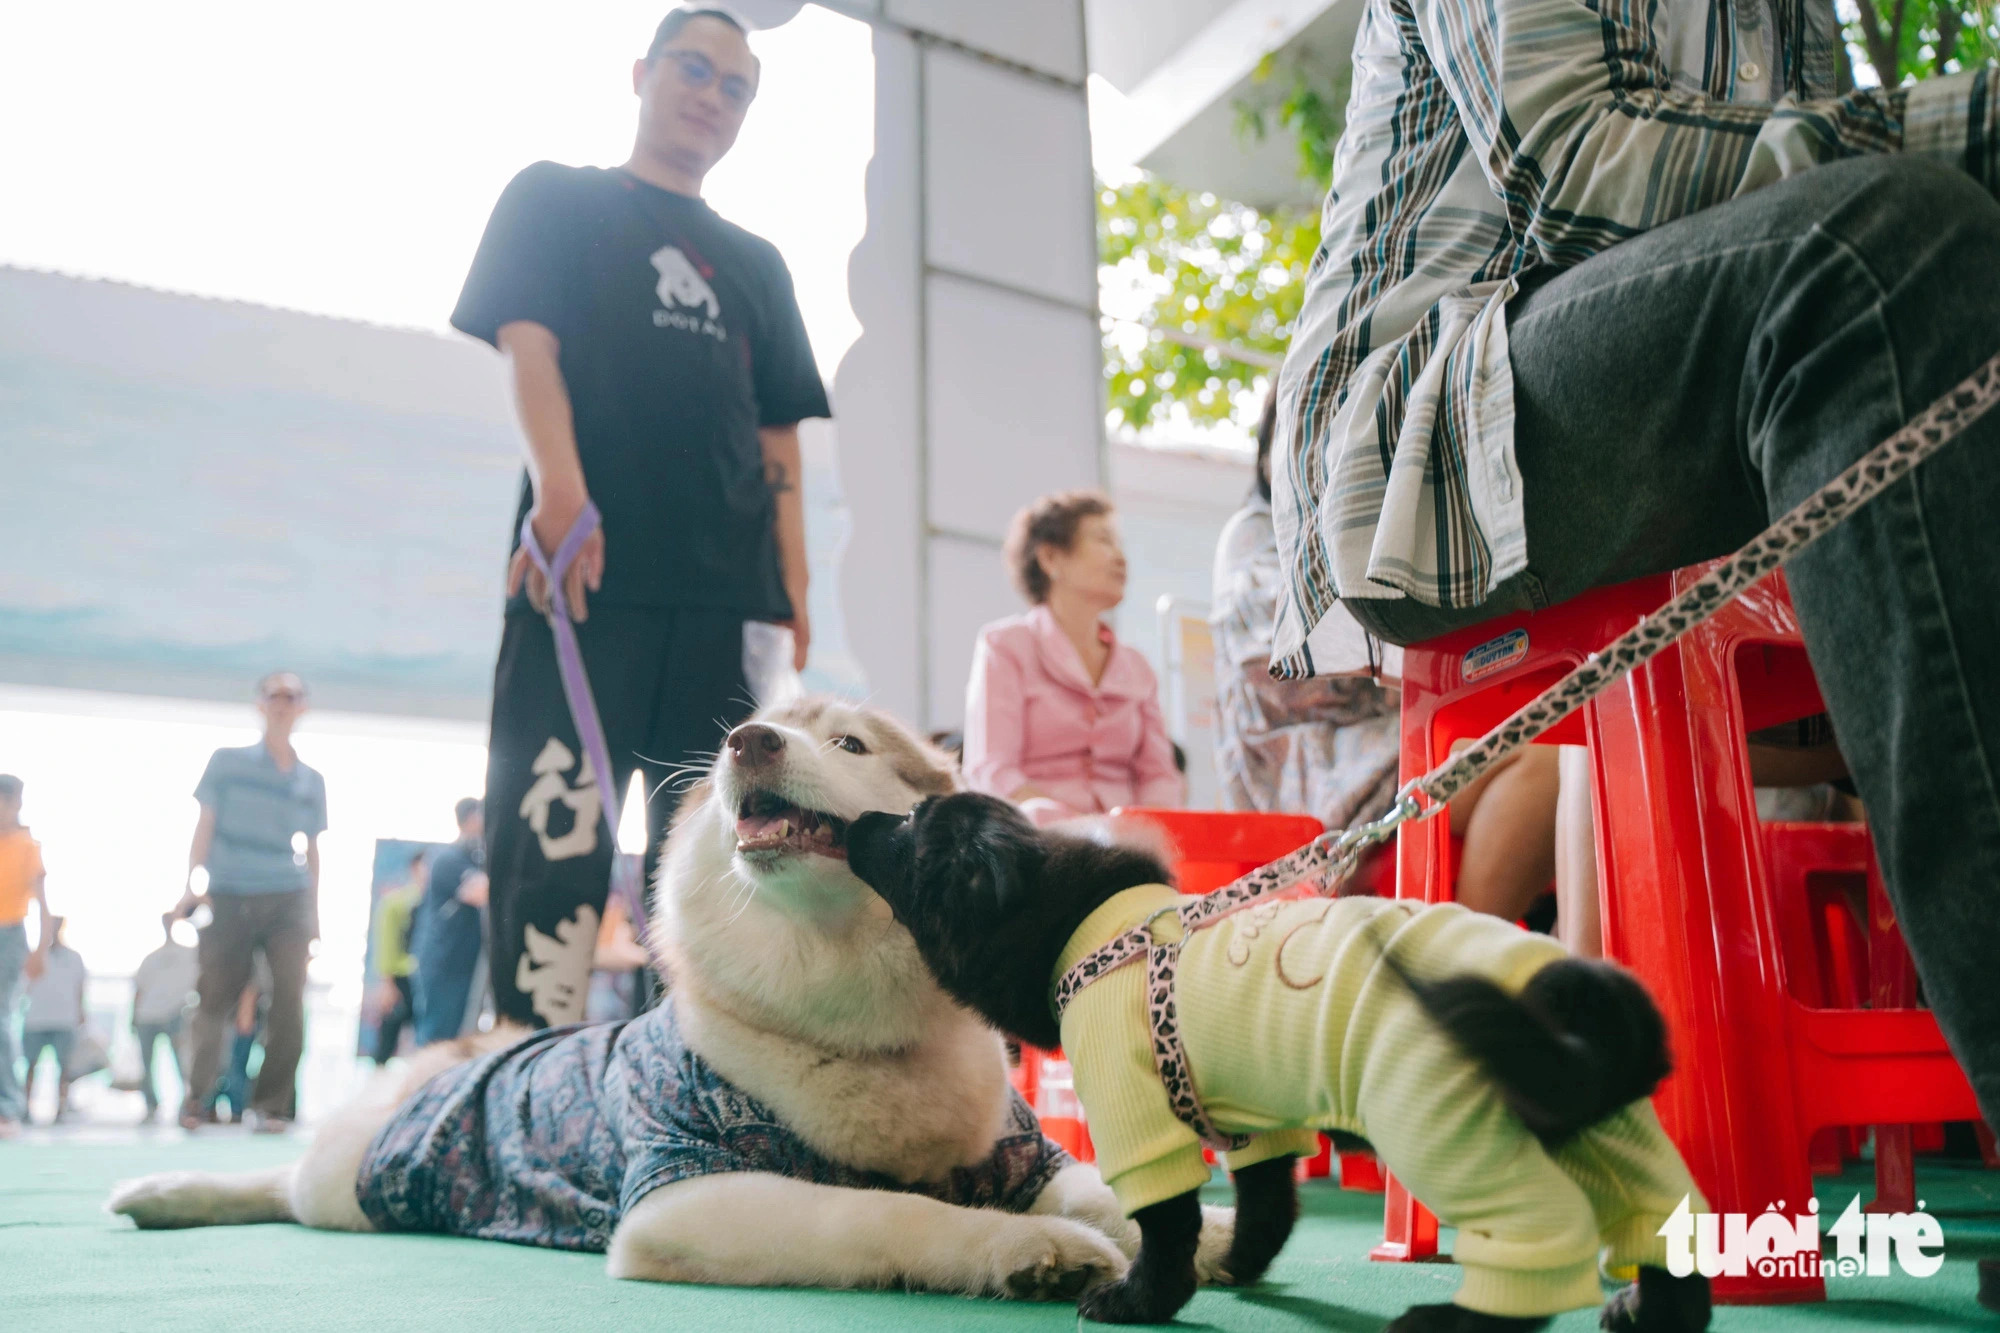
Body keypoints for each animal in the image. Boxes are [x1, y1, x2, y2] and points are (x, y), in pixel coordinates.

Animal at [117, 696, 1232, 1296]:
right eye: (767, 727)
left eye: (852, 744)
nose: (750, 740)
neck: (851, 1030)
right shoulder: (686, 1189)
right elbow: (887, 1215)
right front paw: (1025, 1249)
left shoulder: (1024, 1152)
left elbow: (1107, 1190)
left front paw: (1203, 1236)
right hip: (350, 1184)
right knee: (281, 1184)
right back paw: (162, 1189)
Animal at [852, 792, 1712, 1320]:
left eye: (909, 822)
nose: (860, 815)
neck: (1085, 929)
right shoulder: (1258, 1123)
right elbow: (1268, 1208)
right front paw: (1238, 1265)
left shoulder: (1143, 1129)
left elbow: (1167, 1225)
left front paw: (1141, 1300)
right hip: (1613, 1148)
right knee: (1667, 1242)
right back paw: (1644, 1311)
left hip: (1449, 1137)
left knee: (1537, 1259)